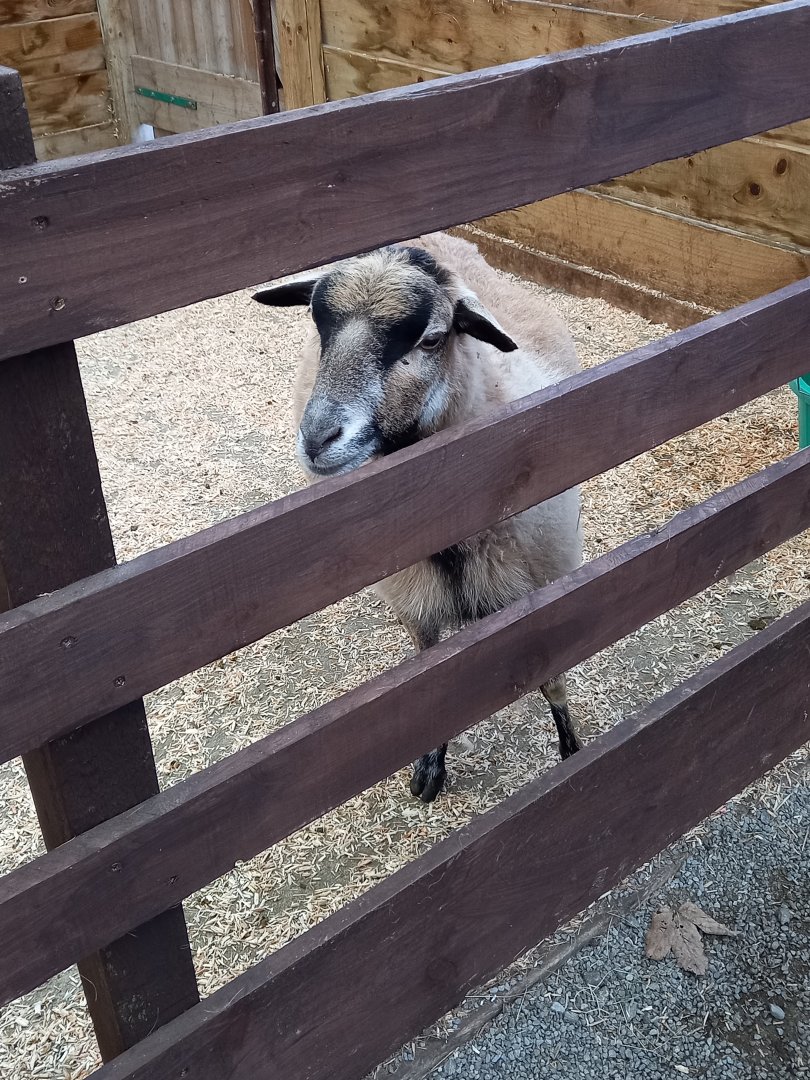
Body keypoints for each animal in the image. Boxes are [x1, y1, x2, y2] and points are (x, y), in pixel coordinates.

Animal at [253, 231, 583, 802]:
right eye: (319, 327)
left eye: (430, 340)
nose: (317, 438)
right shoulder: (416, 602)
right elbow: (429, 682)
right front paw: (430, 765)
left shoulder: (547, 586)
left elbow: (553, 678)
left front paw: (572, 749)